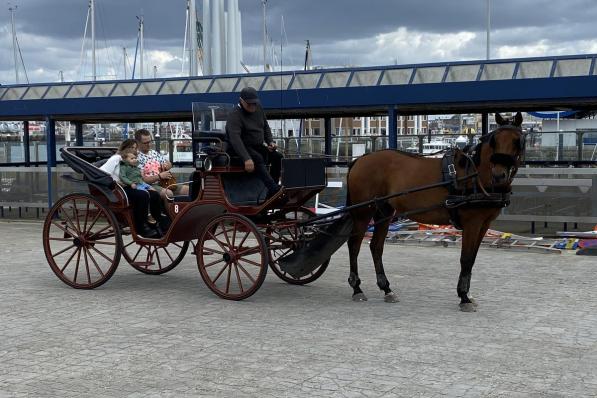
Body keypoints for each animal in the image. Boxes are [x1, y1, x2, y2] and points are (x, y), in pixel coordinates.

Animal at [344, 112, 520, 310]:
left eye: (517, 140)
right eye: (494, 140)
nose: (499, 175)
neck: (476, 175)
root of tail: (360, 159)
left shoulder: (483, 224)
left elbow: (473, 258)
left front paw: (467, 294)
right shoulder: (472, 223)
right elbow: (466, 258)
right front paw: (464, 297)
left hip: (384, 212)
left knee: (376, 246)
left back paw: (386, 288)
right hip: (363, 212)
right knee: (354, 244)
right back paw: (357, 288)